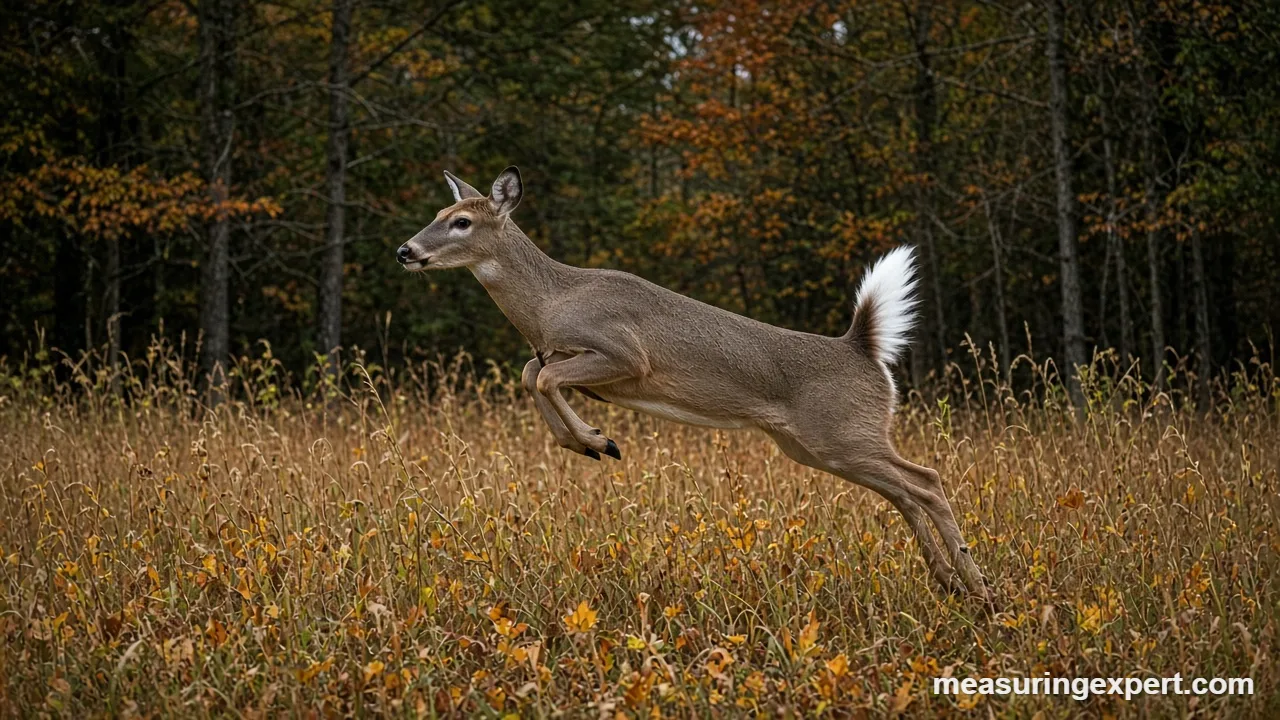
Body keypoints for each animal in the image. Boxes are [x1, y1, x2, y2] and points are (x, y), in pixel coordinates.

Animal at [396, 166, 990, 600]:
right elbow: (531, 373)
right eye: (438, 214)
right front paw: (591, 442)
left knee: (925, 480)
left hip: (840, 433)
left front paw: (597, 442)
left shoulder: (626, 354)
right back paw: (949, 583)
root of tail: (861, 347)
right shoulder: (560, 354)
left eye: (461, 222)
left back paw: (979, 588)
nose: (406, 250)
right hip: (817, 445)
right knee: (903, 491)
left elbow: (543, 378)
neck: (547, 306)